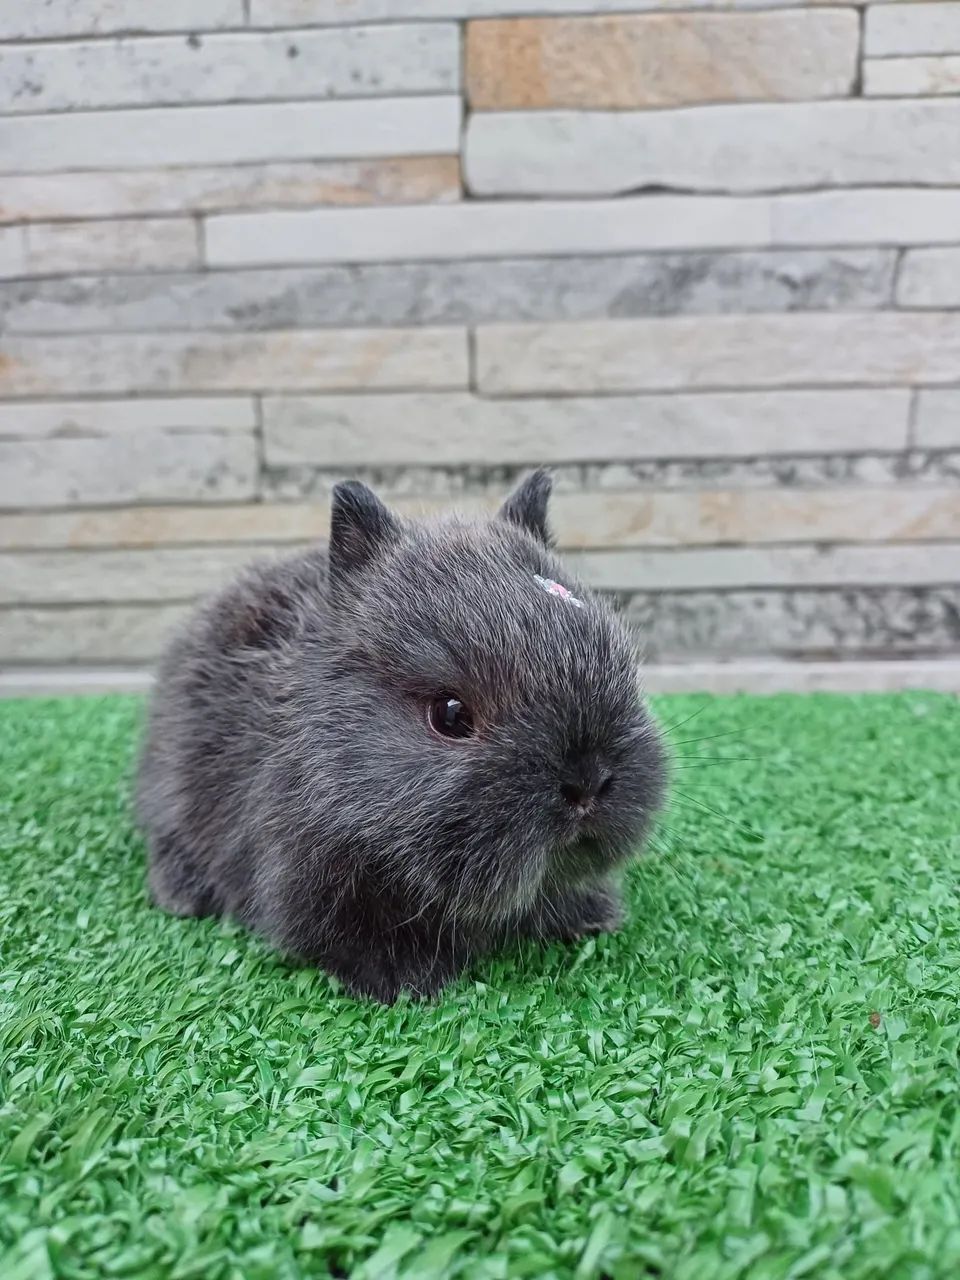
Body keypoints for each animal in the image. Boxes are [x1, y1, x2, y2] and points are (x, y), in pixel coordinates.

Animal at [136, 471, 667, 1003]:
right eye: (450, 715)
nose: (587, 782)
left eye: (620, 661)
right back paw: (181, 895)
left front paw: (591, 918)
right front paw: (403, 981)